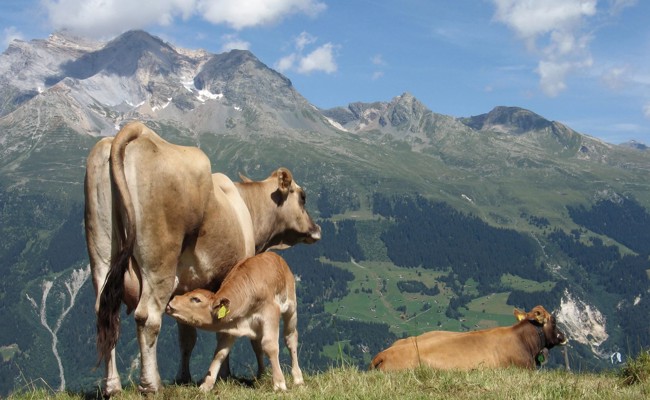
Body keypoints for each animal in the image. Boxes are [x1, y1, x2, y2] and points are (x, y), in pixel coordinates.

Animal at [165, 252, 303, 392]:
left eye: (196, 299)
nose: (172, 300)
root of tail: (275, 255)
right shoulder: (231, 325)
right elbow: (219, 353)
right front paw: (206, 385)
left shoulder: (270, 313)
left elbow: (270, 346)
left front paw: (279, 383)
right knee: (257, 346)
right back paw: (261, 376)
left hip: (291, 308)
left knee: (290, 338)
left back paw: (298, 379)